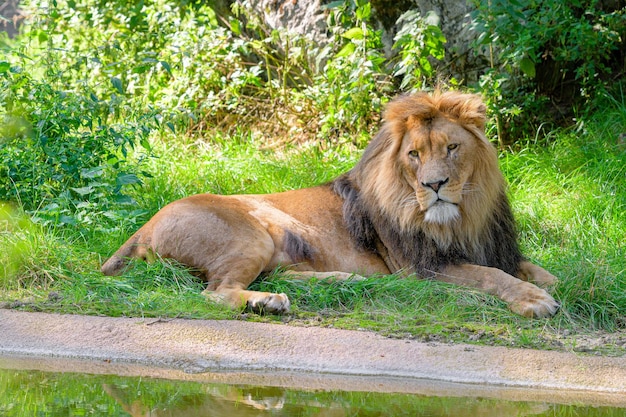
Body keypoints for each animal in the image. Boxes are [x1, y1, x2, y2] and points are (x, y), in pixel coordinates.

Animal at [100, 91, 560, 316]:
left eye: (452, 147)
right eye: (414, 154)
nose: (435, 185)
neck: (463, 218)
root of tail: (143, 227)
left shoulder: (496, 247)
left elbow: (539, 271)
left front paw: (552, 284)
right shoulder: (422, 267)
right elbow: (489, 276)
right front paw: (534, 300)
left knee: (276, 276)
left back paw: (345, 281)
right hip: (251, 235)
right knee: (214, 292)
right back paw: (267, 304)